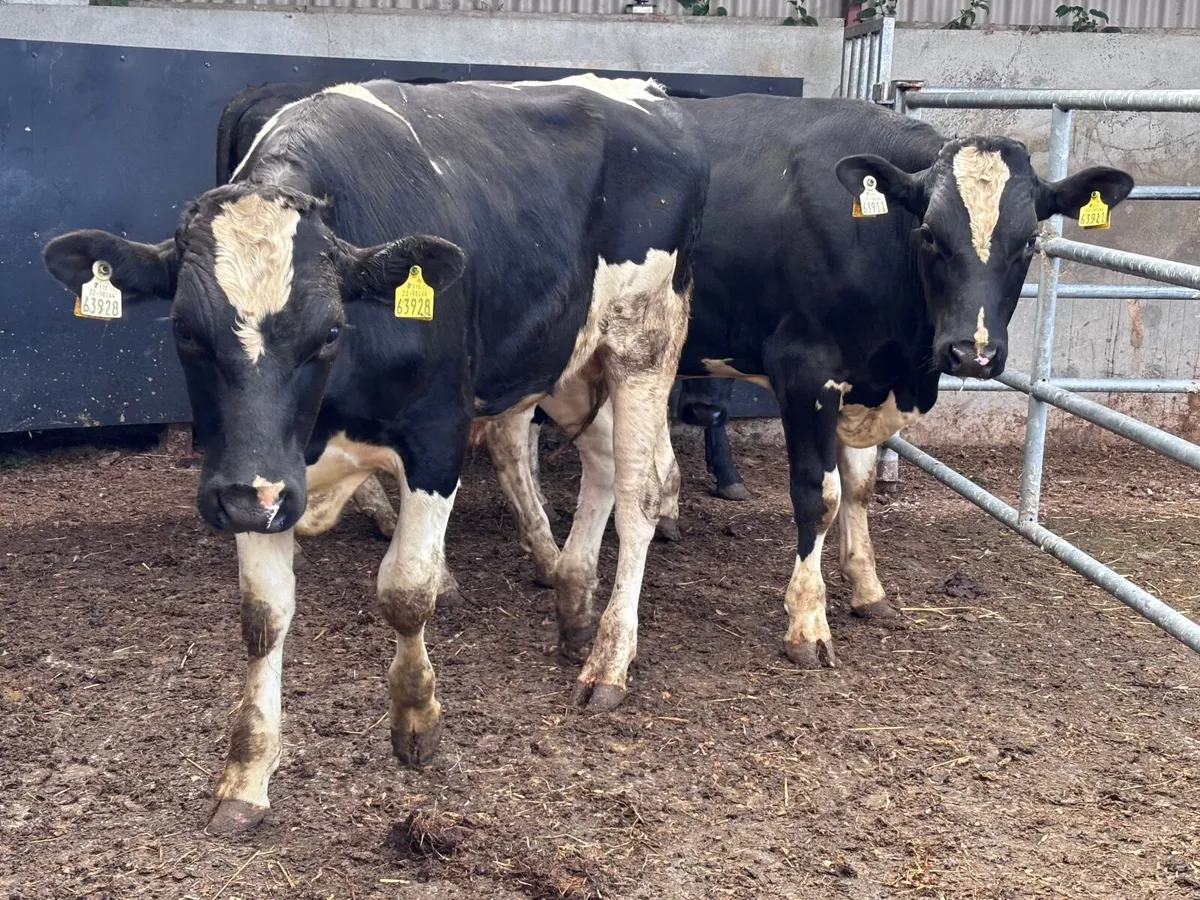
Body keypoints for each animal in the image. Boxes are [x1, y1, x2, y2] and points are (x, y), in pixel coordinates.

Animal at [42, 74, 709, 832]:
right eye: (184, 329)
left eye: (331, 331)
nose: (246, 497)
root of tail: (646, 94)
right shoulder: (259, 475)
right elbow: (262, 618)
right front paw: (246, 774)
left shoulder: (436, 437)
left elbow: (406, 592)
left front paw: (417, 720)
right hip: (567, 357)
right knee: (599, 460)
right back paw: (572, 602)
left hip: (645, 341)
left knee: (640, 494)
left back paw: (609, 660)